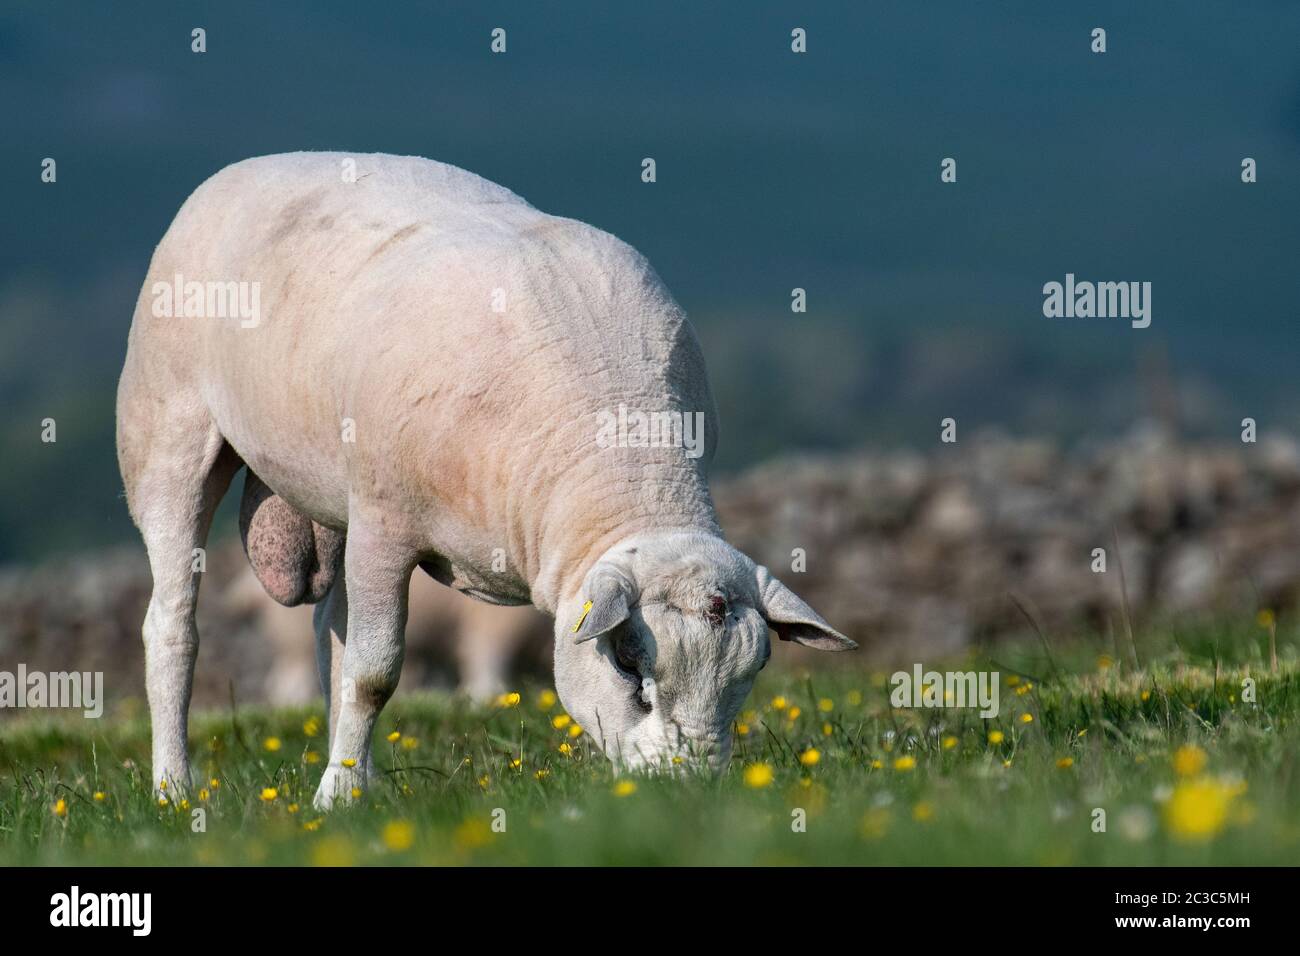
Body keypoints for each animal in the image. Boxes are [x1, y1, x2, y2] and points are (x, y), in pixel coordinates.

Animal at [116, 153, 852, 811]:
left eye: (750, 677)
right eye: (630, 668)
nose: (686, 793)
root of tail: (246, 166)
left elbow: (353, 662)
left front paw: (343, 789)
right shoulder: (385, 521)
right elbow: (375, 674)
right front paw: (332, 802)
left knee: (328, 633)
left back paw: (356, 778)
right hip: (169, 435)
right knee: (172, 627)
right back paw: (175, 789)